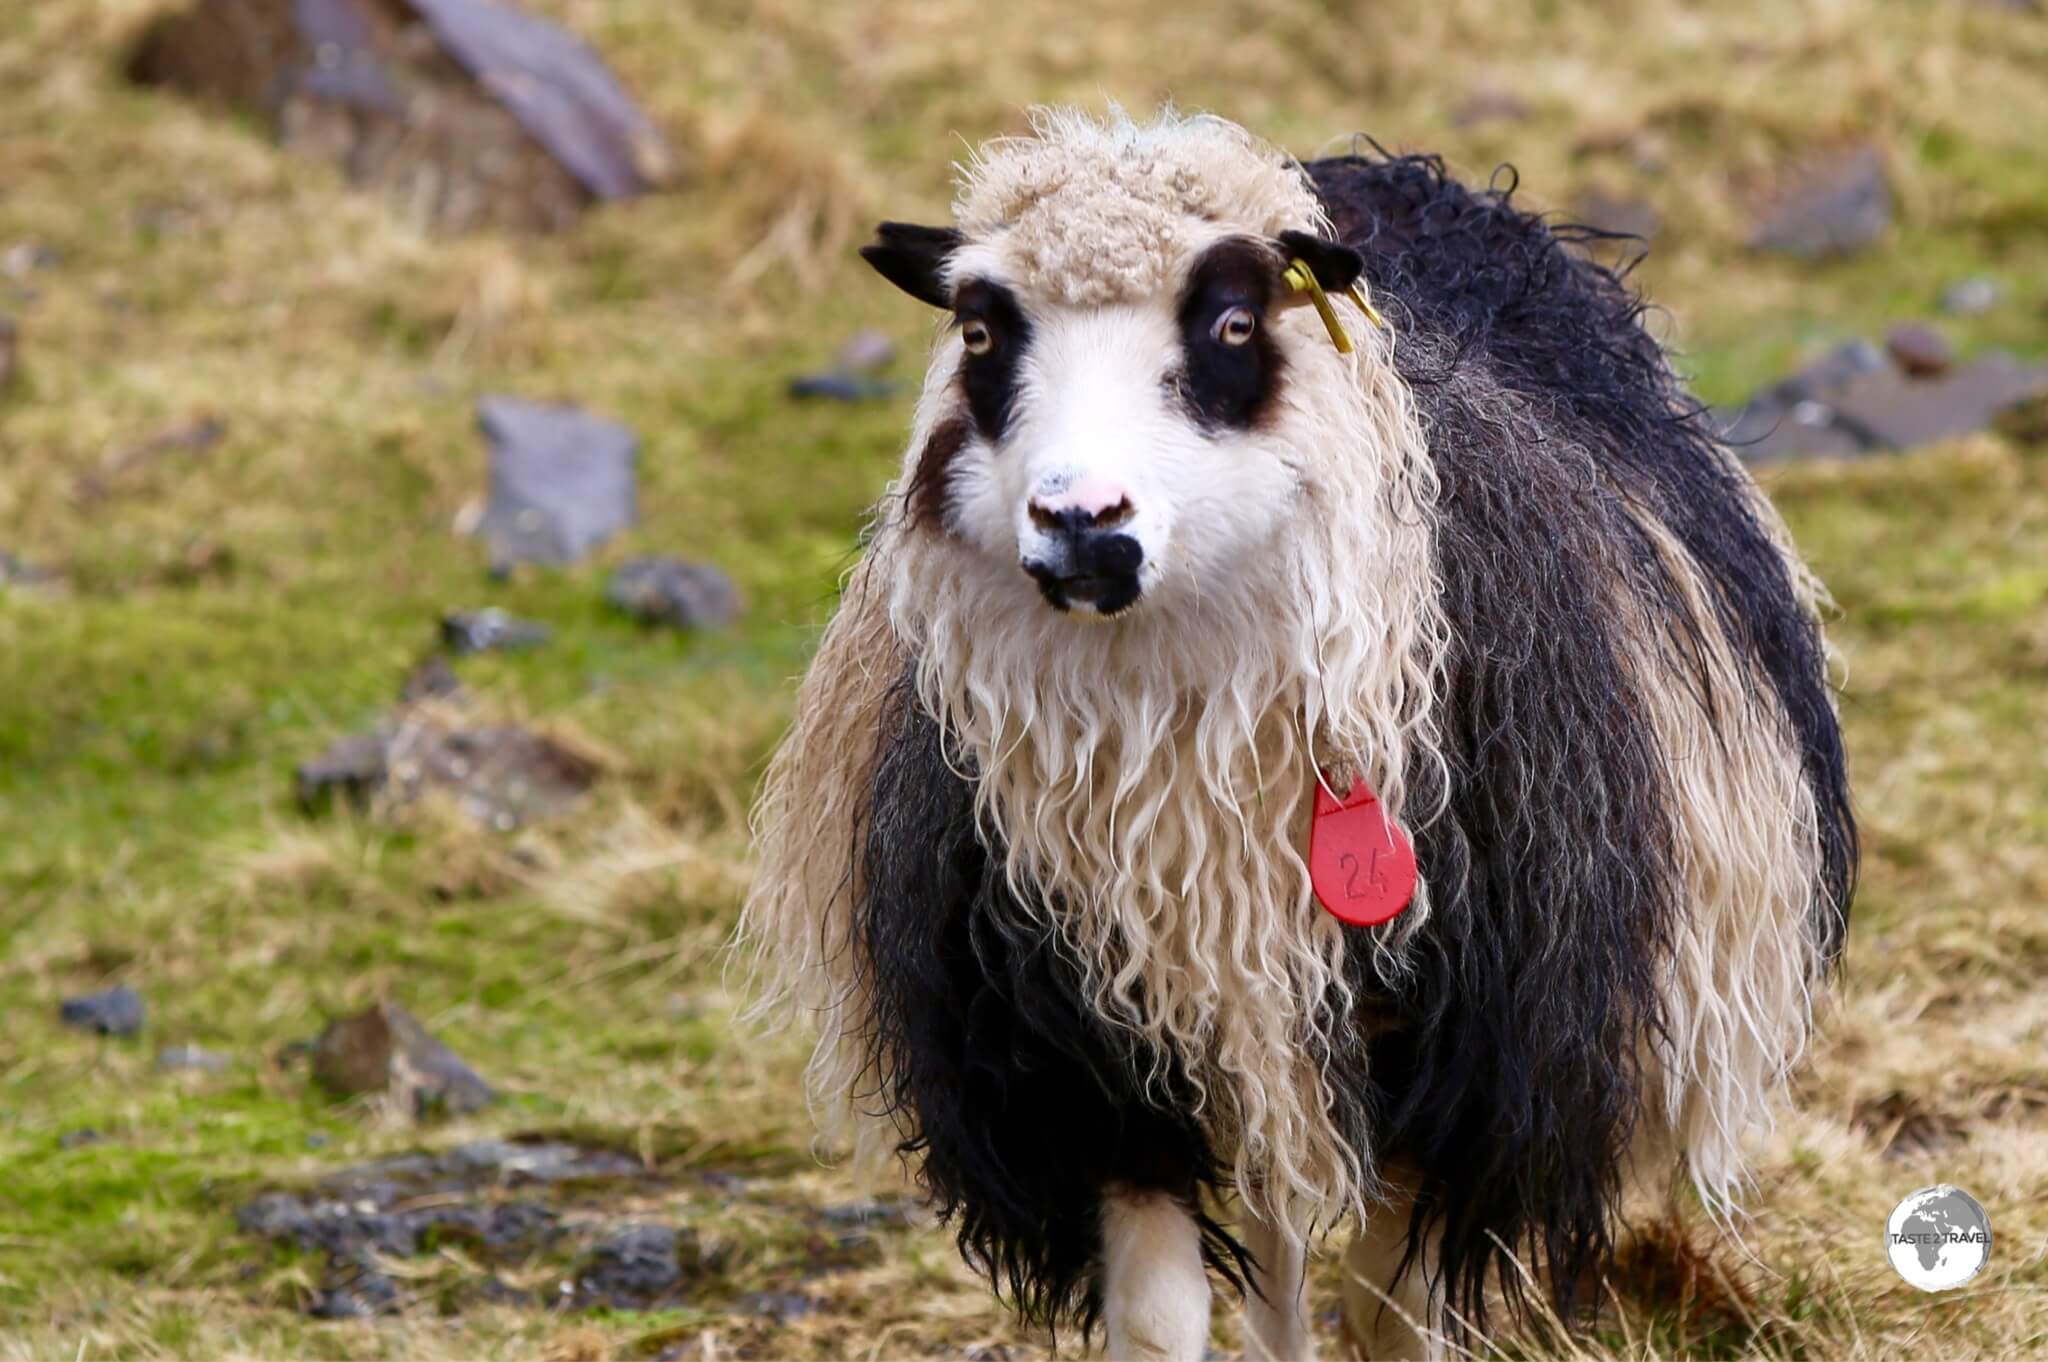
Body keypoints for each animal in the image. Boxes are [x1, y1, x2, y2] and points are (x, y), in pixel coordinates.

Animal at [741, 109, 1859, 1359]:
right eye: (980, 330)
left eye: (1232, 322)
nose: (1081, 523)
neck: (1181, 751)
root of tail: (1383, 175)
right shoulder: (1081, 1055)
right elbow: (1159, 1319)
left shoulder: (1452, 1051)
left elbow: (1390, 1309)